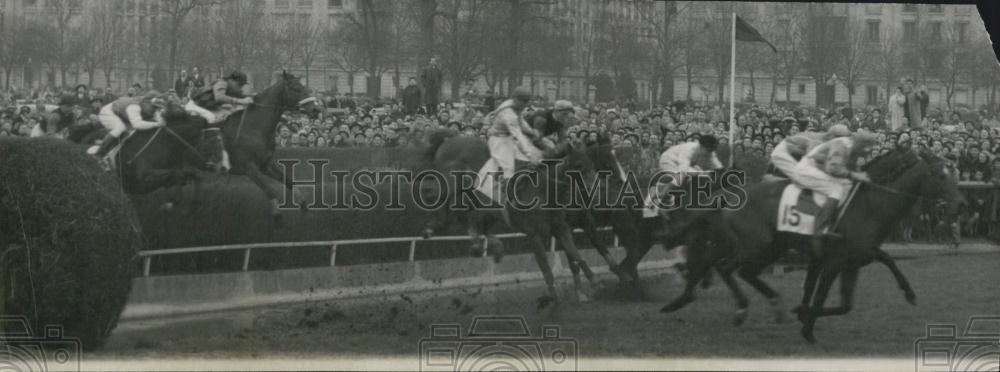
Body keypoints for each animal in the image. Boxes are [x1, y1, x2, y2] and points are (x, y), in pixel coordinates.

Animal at [217, 71, 322, 219]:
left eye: (307, 89)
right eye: (296, 89)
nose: (316, 109)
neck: (254, 127)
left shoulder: (266, 165)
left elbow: (289, 181)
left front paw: (304, 206)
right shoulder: (249, 167)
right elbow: (270, 190)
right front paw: (276, 214)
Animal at [422, 131, 600, 308]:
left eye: (591, 163)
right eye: (579, 165)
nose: (594, 189)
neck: (543, 191)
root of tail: (446, 141)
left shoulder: (561, 228)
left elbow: (576, 255)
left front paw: (594, 281)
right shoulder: (534, 235)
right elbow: (545, 269)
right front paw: (553, 299)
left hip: (480, 204)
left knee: (472, 221)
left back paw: (488, 246)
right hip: (454, 183)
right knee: (447, 203)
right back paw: (436, 227)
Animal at [660, 148, 964, 342]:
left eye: (955, 174)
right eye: (941, 176)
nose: (958, 204)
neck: (870, 206)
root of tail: (732, 194)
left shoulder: (856, 260)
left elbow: (854, 296)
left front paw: (909, 293)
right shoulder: (833, 262)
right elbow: (820, 296)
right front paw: (806, 326)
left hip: (767, 246)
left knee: (727, 266)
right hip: (757, 244)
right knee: (728, 268)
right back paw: (744, 307)